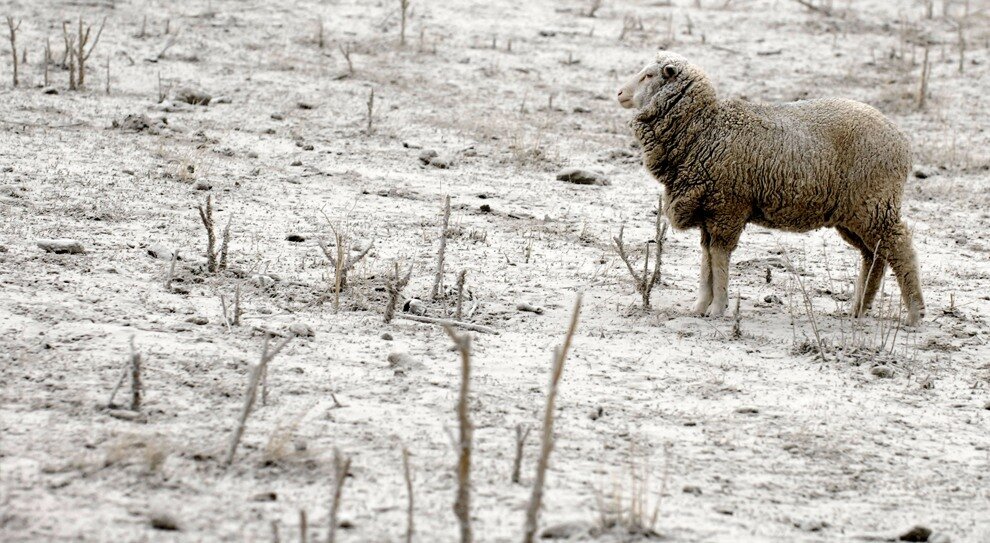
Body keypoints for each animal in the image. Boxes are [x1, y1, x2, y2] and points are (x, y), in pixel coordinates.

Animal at [616, 52, 928, 324]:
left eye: (649, 75)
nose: (619, 93)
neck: (706, 128)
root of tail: (902, 141)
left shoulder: (727, 207)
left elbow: (718, 258)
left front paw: (717, 308)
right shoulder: (709, 211)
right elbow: (707, 259)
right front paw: (700, 306)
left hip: (874, 203)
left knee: (900, 249)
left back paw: (914, 314)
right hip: (854, 213)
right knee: (874, 255)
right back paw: (858, 309)